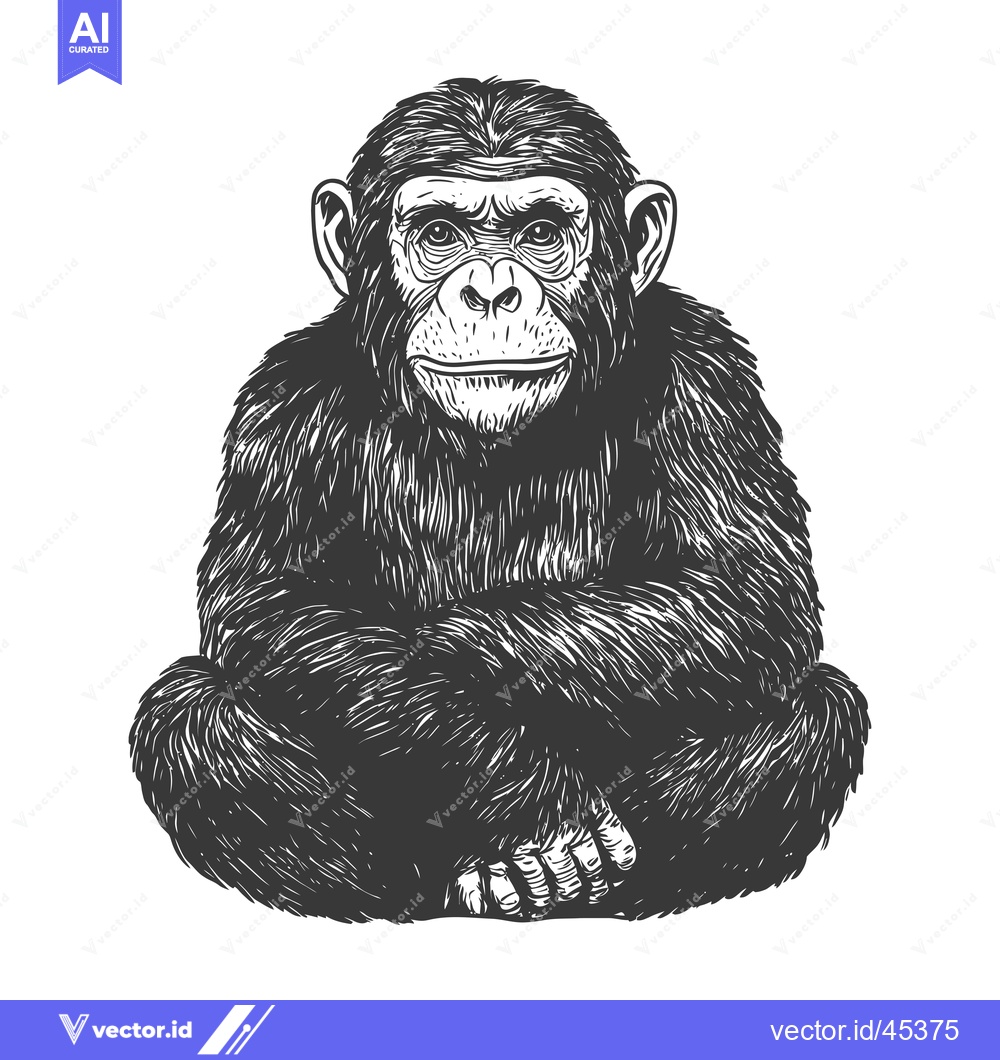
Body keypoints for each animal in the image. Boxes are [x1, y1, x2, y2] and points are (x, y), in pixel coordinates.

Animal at [131, 77, 868, 921]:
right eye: (440, 233)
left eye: (541, 232)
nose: (490, 291)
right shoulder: (285, 403)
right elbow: (272, 602)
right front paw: (529, 797)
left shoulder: (707, 377)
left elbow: (744, 591)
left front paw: (451, 641)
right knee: (190, 716)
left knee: (814, 714)